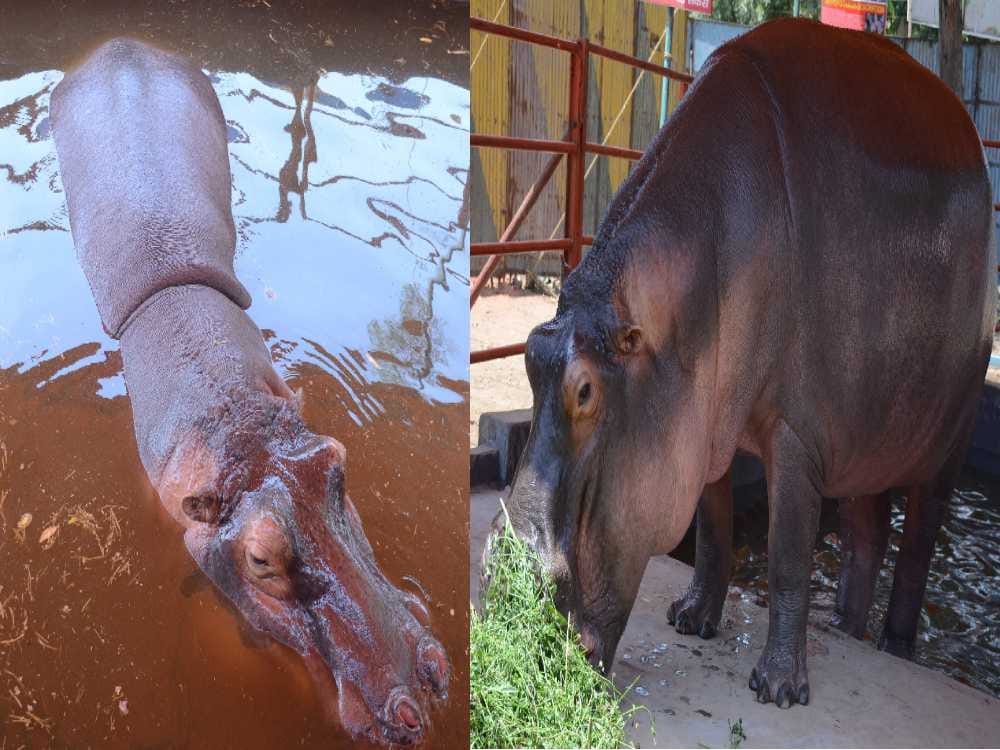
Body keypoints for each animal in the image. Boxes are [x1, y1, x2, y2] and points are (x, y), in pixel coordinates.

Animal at [496, 18, 995, 708]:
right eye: (528, 352)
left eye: (586, 391)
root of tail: (967, 133)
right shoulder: (701, 422)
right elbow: (712, 524)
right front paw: (691, 620)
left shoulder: (797, 437)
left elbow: (787, 555)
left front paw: (779, 689)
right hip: (865, 440)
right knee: (868, 534)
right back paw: (847, 629)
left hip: (947, 439)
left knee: (919, 543)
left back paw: (894, 648)